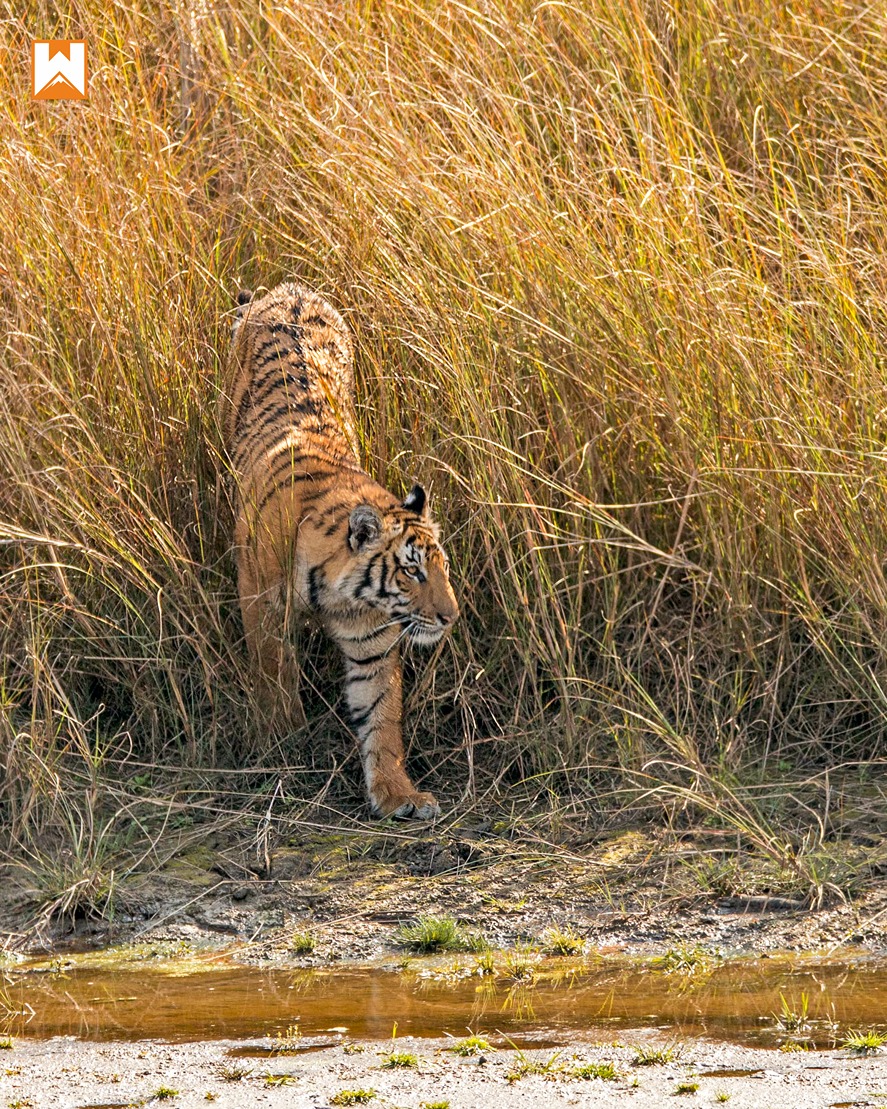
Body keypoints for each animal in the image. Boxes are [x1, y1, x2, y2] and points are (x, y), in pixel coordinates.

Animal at [218, 281, 459, 820]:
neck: (336, 591)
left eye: (442, 568)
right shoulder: (259, 599)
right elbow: (272, 669)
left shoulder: (370, 637)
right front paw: (281, 738)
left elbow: (381, 715)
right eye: (412, 572)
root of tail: (288, 286)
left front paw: (398, 794)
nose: (450, 617)